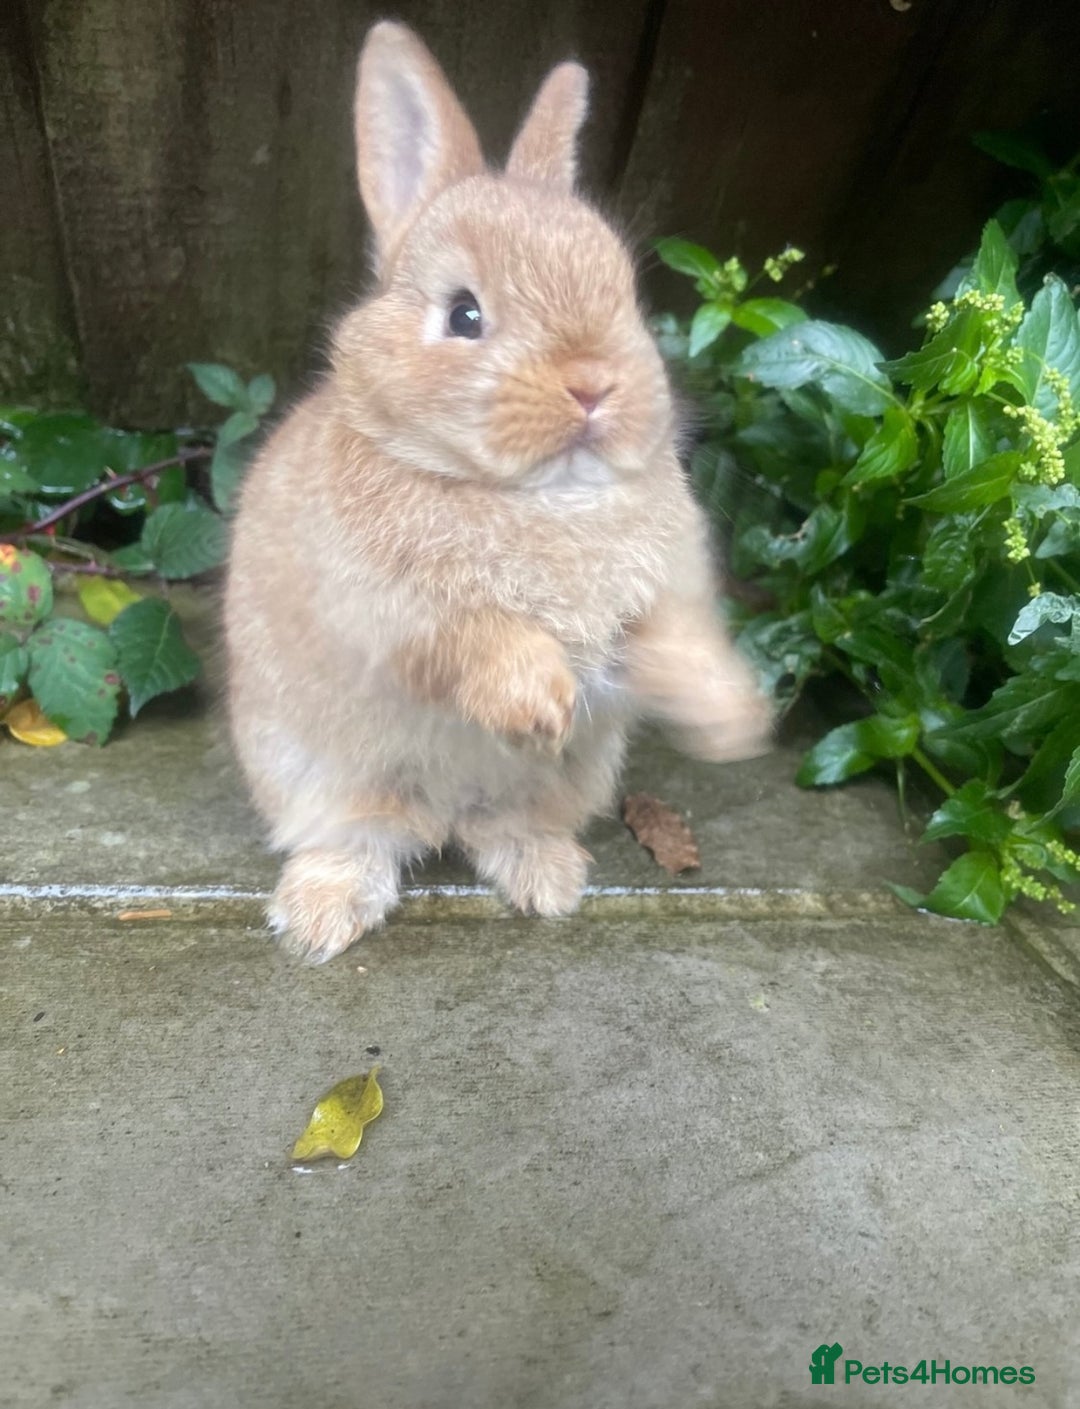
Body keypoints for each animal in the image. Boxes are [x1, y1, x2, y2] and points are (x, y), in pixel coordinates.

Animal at [224, 20, 772, 962]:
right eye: (464, 315)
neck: (544, 496)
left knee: (501, 829)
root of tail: (441, 812)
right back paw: (319, 921)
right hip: (320, 778)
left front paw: (736, 721)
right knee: (358, 840)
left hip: (555, 787)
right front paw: (542, 699)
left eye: (624, 293)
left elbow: (674, 644)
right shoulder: (393, 614)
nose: (592, 384)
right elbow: (472, 642)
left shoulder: (662, 599)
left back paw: (549, 882)